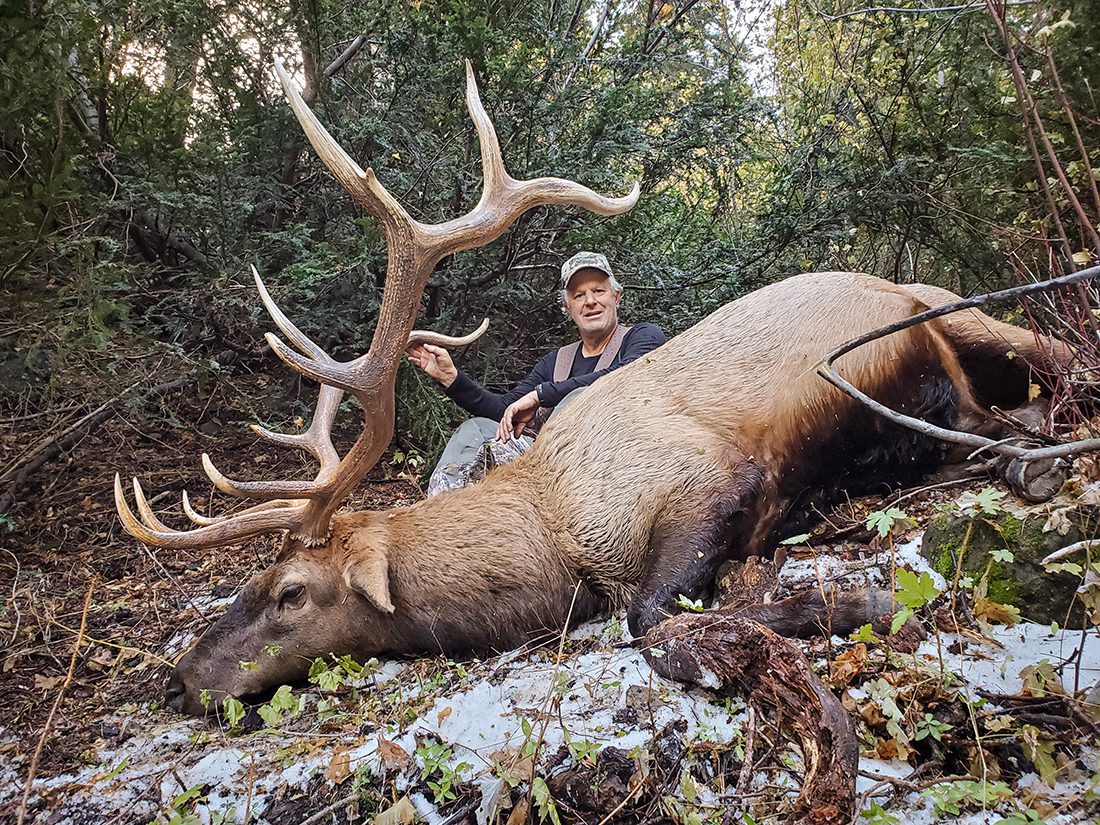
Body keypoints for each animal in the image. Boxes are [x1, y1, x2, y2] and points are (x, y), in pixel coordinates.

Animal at [115, 61, 1070, 716]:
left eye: (288, 592)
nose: (178, 679)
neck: (558, 542)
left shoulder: (715, 481)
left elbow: (651, 618)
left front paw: (854, 597)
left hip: (966, 319)